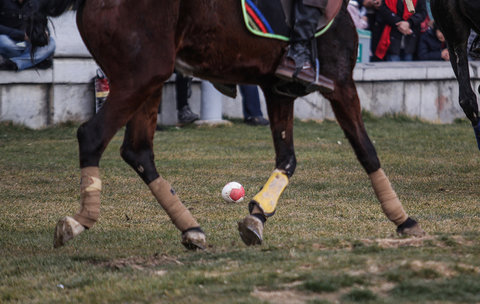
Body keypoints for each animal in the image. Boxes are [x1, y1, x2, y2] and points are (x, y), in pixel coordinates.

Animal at [31, 0, 424, 248]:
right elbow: (366, 151)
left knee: (138, 151)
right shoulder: (341, 82)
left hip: (148, 79)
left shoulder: (277, 89)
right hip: (141, 74)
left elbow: (287, 159)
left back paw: (190, 228)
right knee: (93, 136)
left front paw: (258, 215)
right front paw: (403, 219)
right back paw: (79, 221)